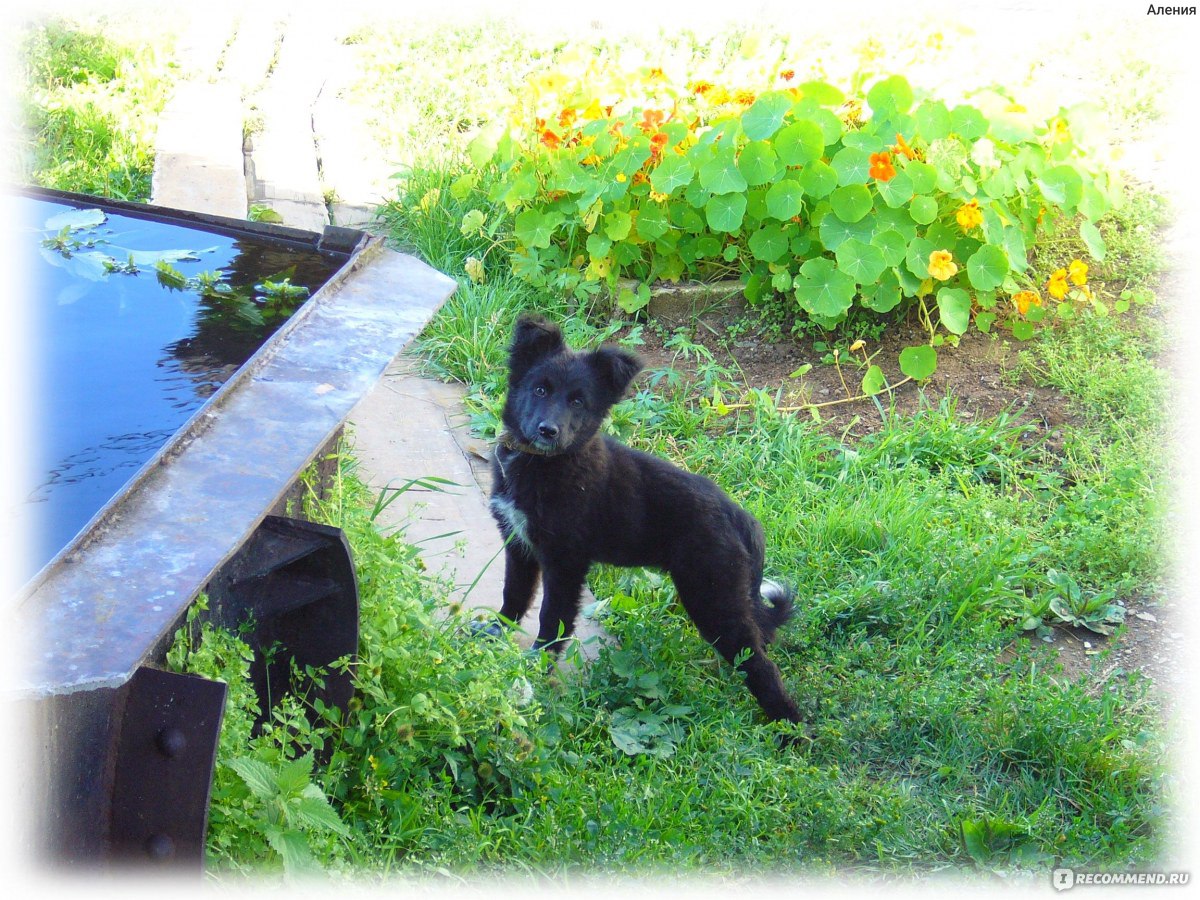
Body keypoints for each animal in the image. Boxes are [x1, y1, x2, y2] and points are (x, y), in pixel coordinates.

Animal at [482, 314, 801, 724]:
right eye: (540, 389)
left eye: (578, 401)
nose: (548, 431)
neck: (547, 463)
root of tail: (741, 516)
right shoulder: (518, 543)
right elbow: (514, 595)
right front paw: (495, 632)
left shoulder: (565, 563)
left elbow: (552, 622)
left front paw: (533, 675)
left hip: (712, 594)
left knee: (761, 664)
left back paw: (789, 726)